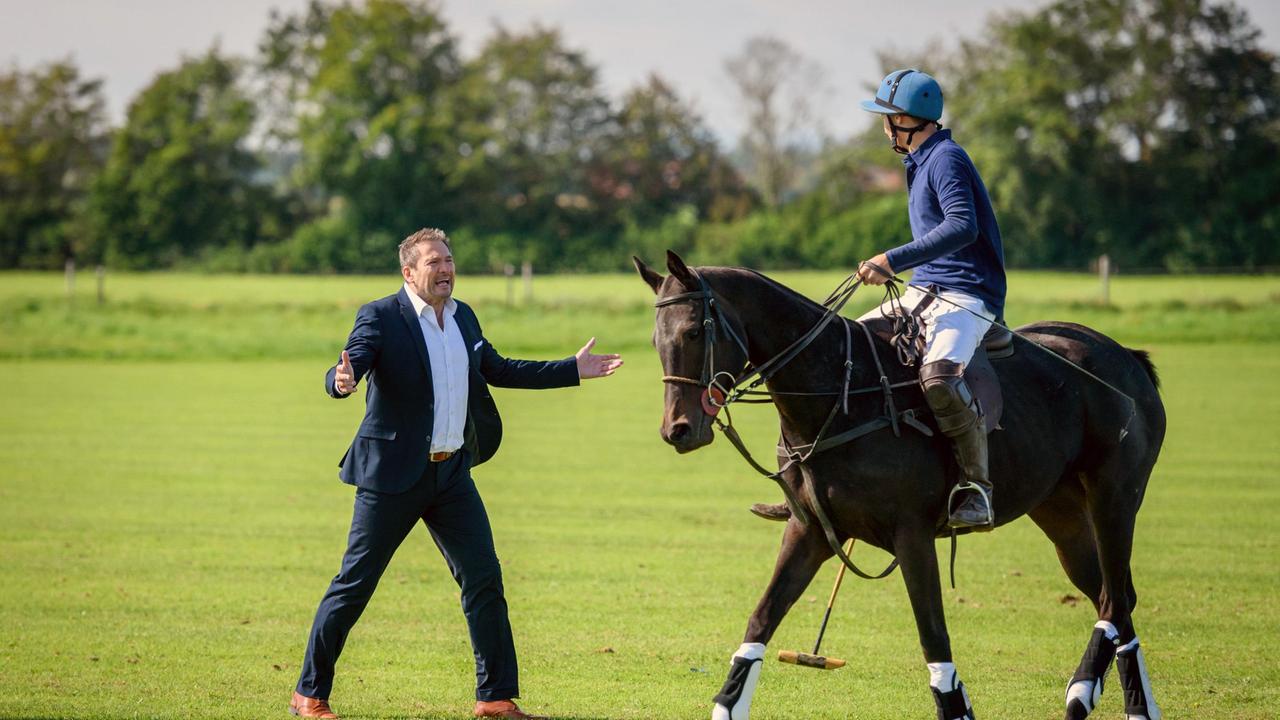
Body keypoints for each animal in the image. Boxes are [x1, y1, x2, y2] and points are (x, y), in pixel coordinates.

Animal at [634, 252, 1167, 717]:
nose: (678, 431)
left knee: (1113, 598)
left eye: (692, 330)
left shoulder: (912, 535)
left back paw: (1090, 695)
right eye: (657, 340)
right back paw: (1118, 701)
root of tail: (1128, 357)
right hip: (1060, 510)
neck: (838, 397)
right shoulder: (809, 531)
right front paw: (729, 702)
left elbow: (933, 636)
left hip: (1115, 496)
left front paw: (957, 707)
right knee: (1115, 597)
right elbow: (761, 619)